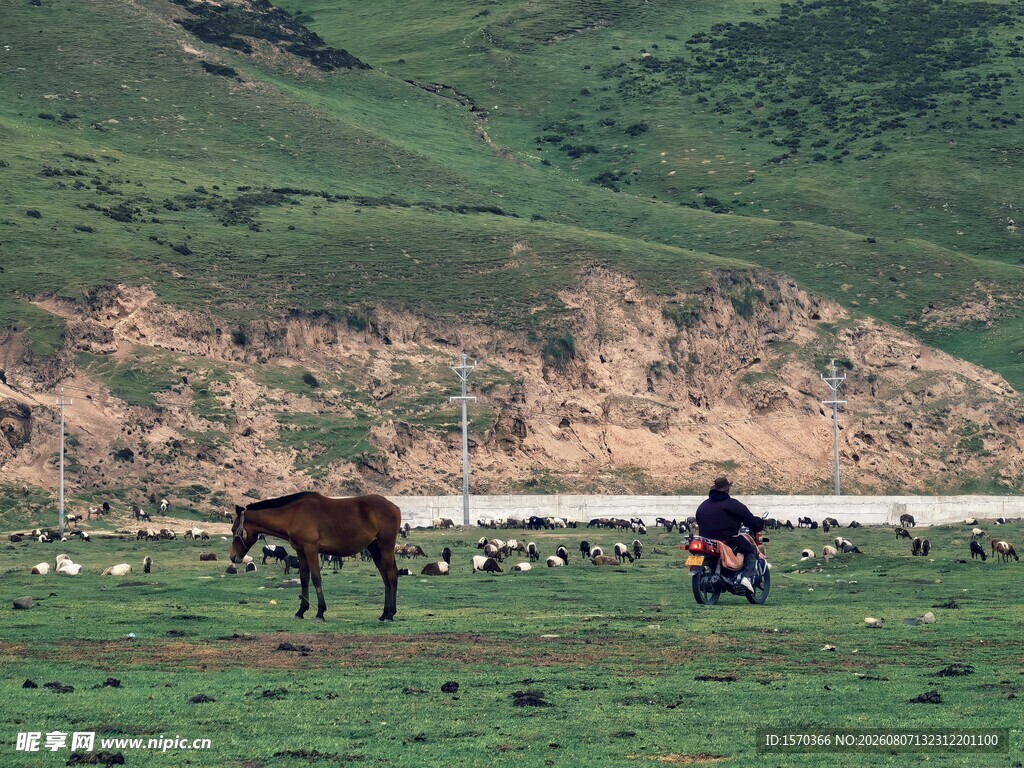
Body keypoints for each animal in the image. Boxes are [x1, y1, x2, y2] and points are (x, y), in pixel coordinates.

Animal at [229, 492, 401, 622]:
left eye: (233, 529)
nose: (233, 557)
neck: (293, 515)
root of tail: (394, 507)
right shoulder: (301, 551)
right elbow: (304, 579)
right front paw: (301, 611)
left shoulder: (311, 549)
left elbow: (316, 578)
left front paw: (320, 612)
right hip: (375, 549)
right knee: (386, 578)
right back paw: (384, 614)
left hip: (386, 547)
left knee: (392, 575)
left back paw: (390, 614)